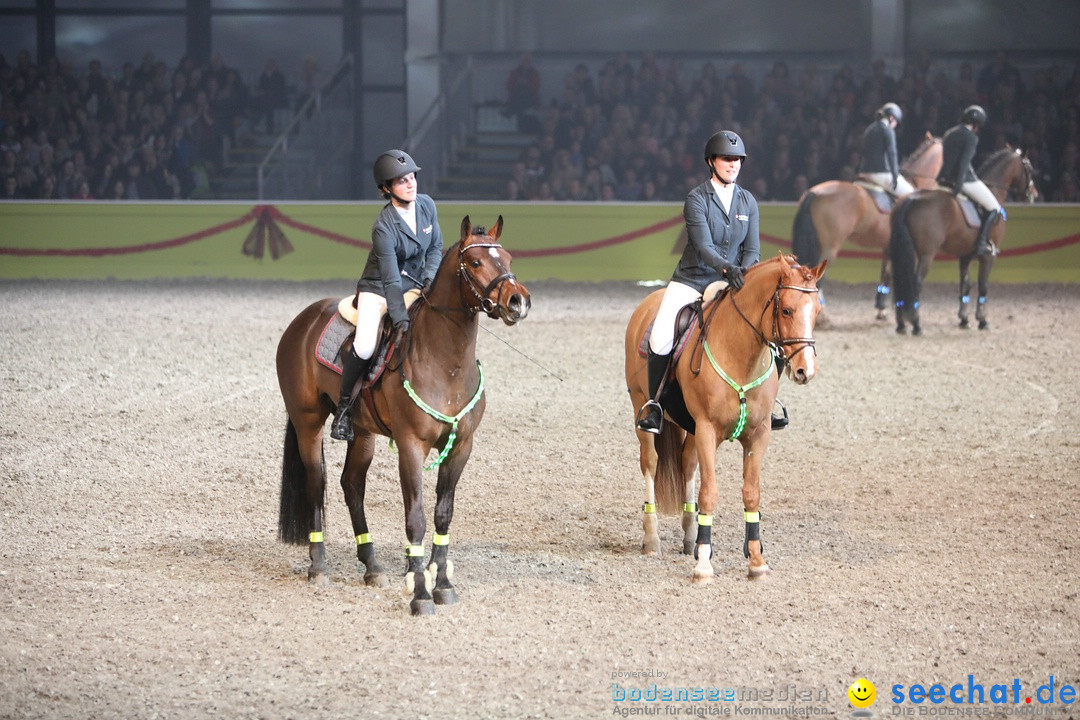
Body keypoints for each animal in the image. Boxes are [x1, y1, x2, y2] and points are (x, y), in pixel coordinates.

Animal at [274, 216, 531, 617]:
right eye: (475, 263)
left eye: (506, 258)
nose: (517, 300)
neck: (446, 363)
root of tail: (303, 320)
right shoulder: (411, 446)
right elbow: (417, 518)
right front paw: (421, 593)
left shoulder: (461, 447)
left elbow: (442, 514)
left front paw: (442, 585)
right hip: (308, 424)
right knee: (317, 484)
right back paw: (318, 566)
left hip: (362, 434)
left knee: (352, 485)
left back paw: (372, 565)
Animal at [626, 253, 825, 587]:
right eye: (786, 309)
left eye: (817, 312)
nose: (805, 371)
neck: (740, 354)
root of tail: (648, 302)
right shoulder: (708, 430)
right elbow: (709, 494)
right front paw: (704, 566)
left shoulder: (758, 434)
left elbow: (752, 494)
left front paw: (756, 562)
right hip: (643, 408)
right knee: (651, 464)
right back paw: (652, 540)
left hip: (690, 427)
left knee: (687, 464)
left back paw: (690, 536)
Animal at [790, 130, 941, 321]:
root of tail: (814, 192)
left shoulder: (888, 246)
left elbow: (885, 274)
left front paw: (881, 309)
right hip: (829, 248)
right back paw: (823, 316)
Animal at [885, 148, 1036, 338]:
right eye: (1029, 169)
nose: (1033, 195)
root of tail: (910, 200)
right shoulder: (988, 257)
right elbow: (983, 286)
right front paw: (982, 320)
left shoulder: (965, 256)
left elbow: (965, 286)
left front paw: (964, 320)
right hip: (926, 255)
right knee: (916, 282)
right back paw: (916, 325)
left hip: (906, 251)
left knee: (898, 279)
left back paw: (901, 324)